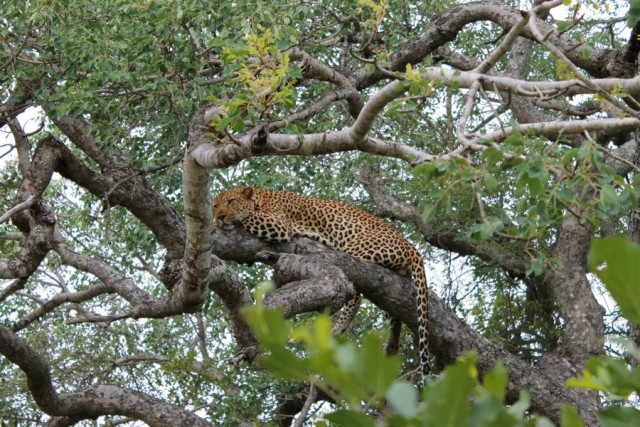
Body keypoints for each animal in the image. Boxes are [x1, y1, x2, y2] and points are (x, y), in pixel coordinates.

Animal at [214, 187, 430, 374]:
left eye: (231, 202)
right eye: (215, 206)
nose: (219, 217)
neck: (261, 198)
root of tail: (410, 246)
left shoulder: (278, 224)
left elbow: (248, 217)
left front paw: (228, 221)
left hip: (356, 251)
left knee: (355, 295)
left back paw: (338, 327)